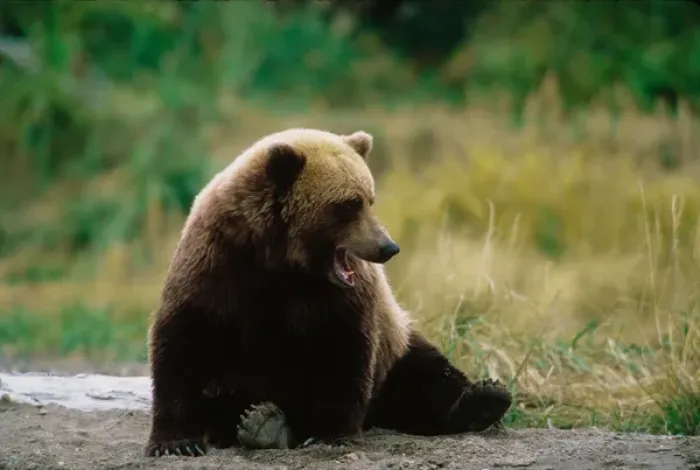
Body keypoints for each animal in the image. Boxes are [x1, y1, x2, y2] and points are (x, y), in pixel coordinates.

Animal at [144, 127, 512, 457]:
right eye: (349, 205)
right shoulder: (217, 267)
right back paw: (262, 423)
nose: (388, 247)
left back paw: (484, 398)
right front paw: (175, 442)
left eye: (369, 199)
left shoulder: (339, 298)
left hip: (394, 347)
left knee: (423, 374)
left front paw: (330, 435)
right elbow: (183, 345)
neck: (282, 261)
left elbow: (343, 351)